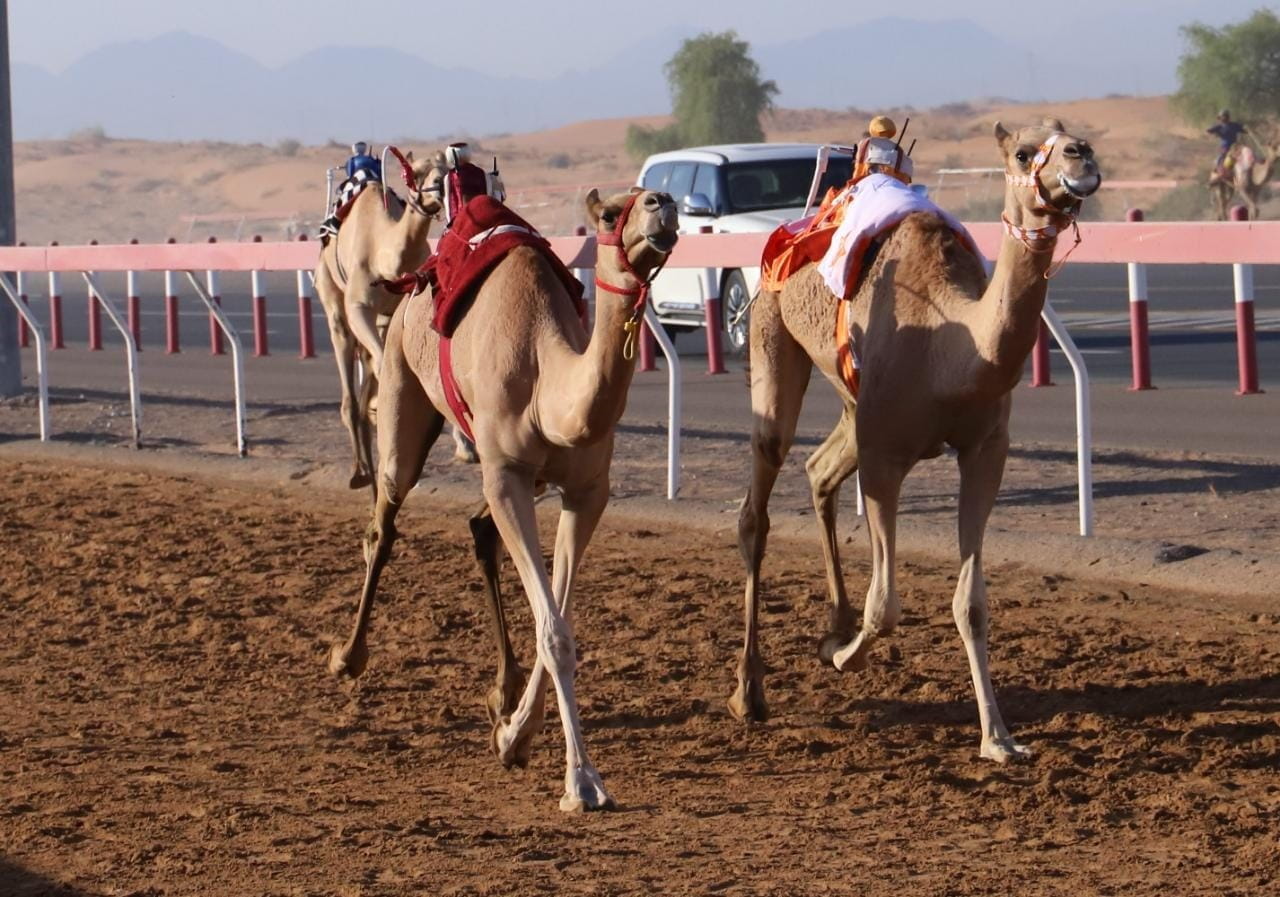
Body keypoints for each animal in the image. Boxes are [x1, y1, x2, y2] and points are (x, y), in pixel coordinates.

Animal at [312, 150, 473, 493]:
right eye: (416, 171)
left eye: (446, 168)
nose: (439, 187)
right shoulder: (359, 307)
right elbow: (381, 360)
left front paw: (465, 447)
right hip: (332, 296)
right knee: (349, 378)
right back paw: (361, 471)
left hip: (383, 318)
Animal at [327, 185, 680, 808]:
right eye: (612, 214)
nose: (663, 202)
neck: (547, 381)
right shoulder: (507, 475)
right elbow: (555, 633)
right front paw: (581, 781)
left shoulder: (587, 491)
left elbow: (558, 618)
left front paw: (515, 734)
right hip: (400, 392)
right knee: (384, 521)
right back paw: (349, 656)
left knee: (480, 529)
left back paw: (503, 687)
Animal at [737, 119, 1105, 762]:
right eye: (1023, 152)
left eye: (1070, 135)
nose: (1081, 157)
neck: (950, 349)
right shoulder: (886, 454)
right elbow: (885, 605)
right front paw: (845, 657)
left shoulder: (986, 450)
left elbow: (971, 603)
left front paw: (999, 739)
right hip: (772, 333)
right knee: (758, 504)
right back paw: (750, 691)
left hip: (852, 398)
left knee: (819, 470)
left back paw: (832, 624)